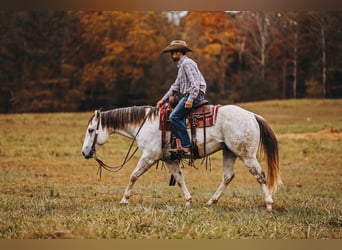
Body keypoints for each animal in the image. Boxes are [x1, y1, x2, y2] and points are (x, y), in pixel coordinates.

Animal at [81, 104, 282, 211]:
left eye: (91, 130)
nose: (84, 152)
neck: (145, 124)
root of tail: (251, 115)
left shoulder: (149, 156)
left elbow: (133, 176)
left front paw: (124, 199)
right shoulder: (169, 159)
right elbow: (179, 179)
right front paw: (188, 201)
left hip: (246, 155)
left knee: (260, 175)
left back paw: (269, 205)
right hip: (229, 152)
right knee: (227, 177)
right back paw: (211, 201)